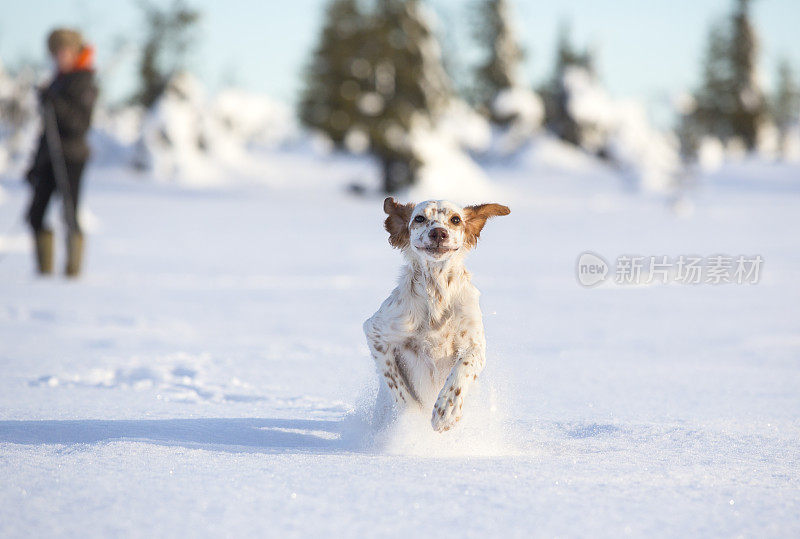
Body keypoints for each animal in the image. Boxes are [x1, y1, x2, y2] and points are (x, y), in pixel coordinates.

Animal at [364, 199, 510, 434]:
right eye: (419, 218)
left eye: (456, 219)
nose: (439, 233)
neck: (436, 291)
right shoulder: (376, 332)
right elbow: (397, 386)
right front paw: (411, 419)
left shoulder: (475, 345)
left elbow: (463, 368)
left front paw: (446, 411)